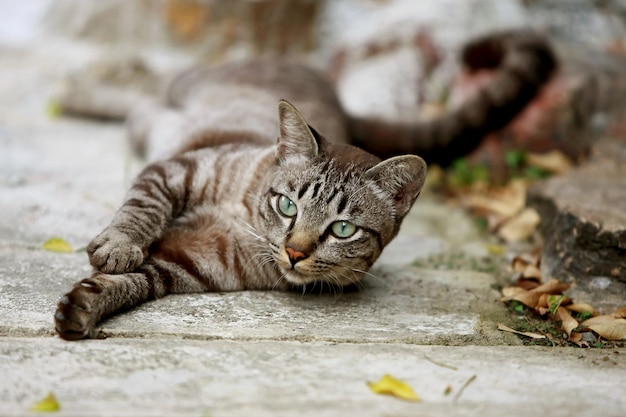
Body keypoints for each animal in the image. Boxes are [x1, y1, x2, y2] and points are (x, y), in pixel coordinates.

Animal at [54, 30, 556, 342]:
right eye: (287, 206)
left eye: (342, 230)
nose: (295, 252)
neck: (247, 212)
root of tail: (344, 103)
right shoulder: (179, 169)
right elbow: (142, 210)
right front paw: (119, 245)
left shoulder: (188, 262)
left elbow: (132, 282)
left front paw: (84, 308)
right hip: (179, 95)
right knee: (141, 90)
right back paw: (78, 89)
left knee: (139, 102)